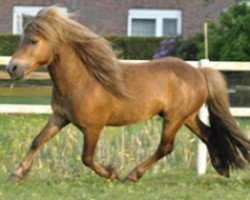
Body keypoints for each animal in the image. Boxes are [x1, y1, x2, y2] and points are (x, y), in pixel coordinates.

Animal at [5, 6, 250, 182]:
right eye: (22, 39)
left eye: (34, 40)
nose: (12, 68)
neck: (82, 82)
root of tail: (199, 72)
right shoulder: (59, 117)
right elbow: (37, 141)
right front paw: (17, 174)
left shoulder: (93, 128)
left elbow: (87, 158)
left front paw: (112, 173)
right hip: (186, 117)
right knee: (207, 134)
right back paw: (222, 168)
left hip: (174, 118)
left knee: (165, 147)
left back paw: (132, 176)